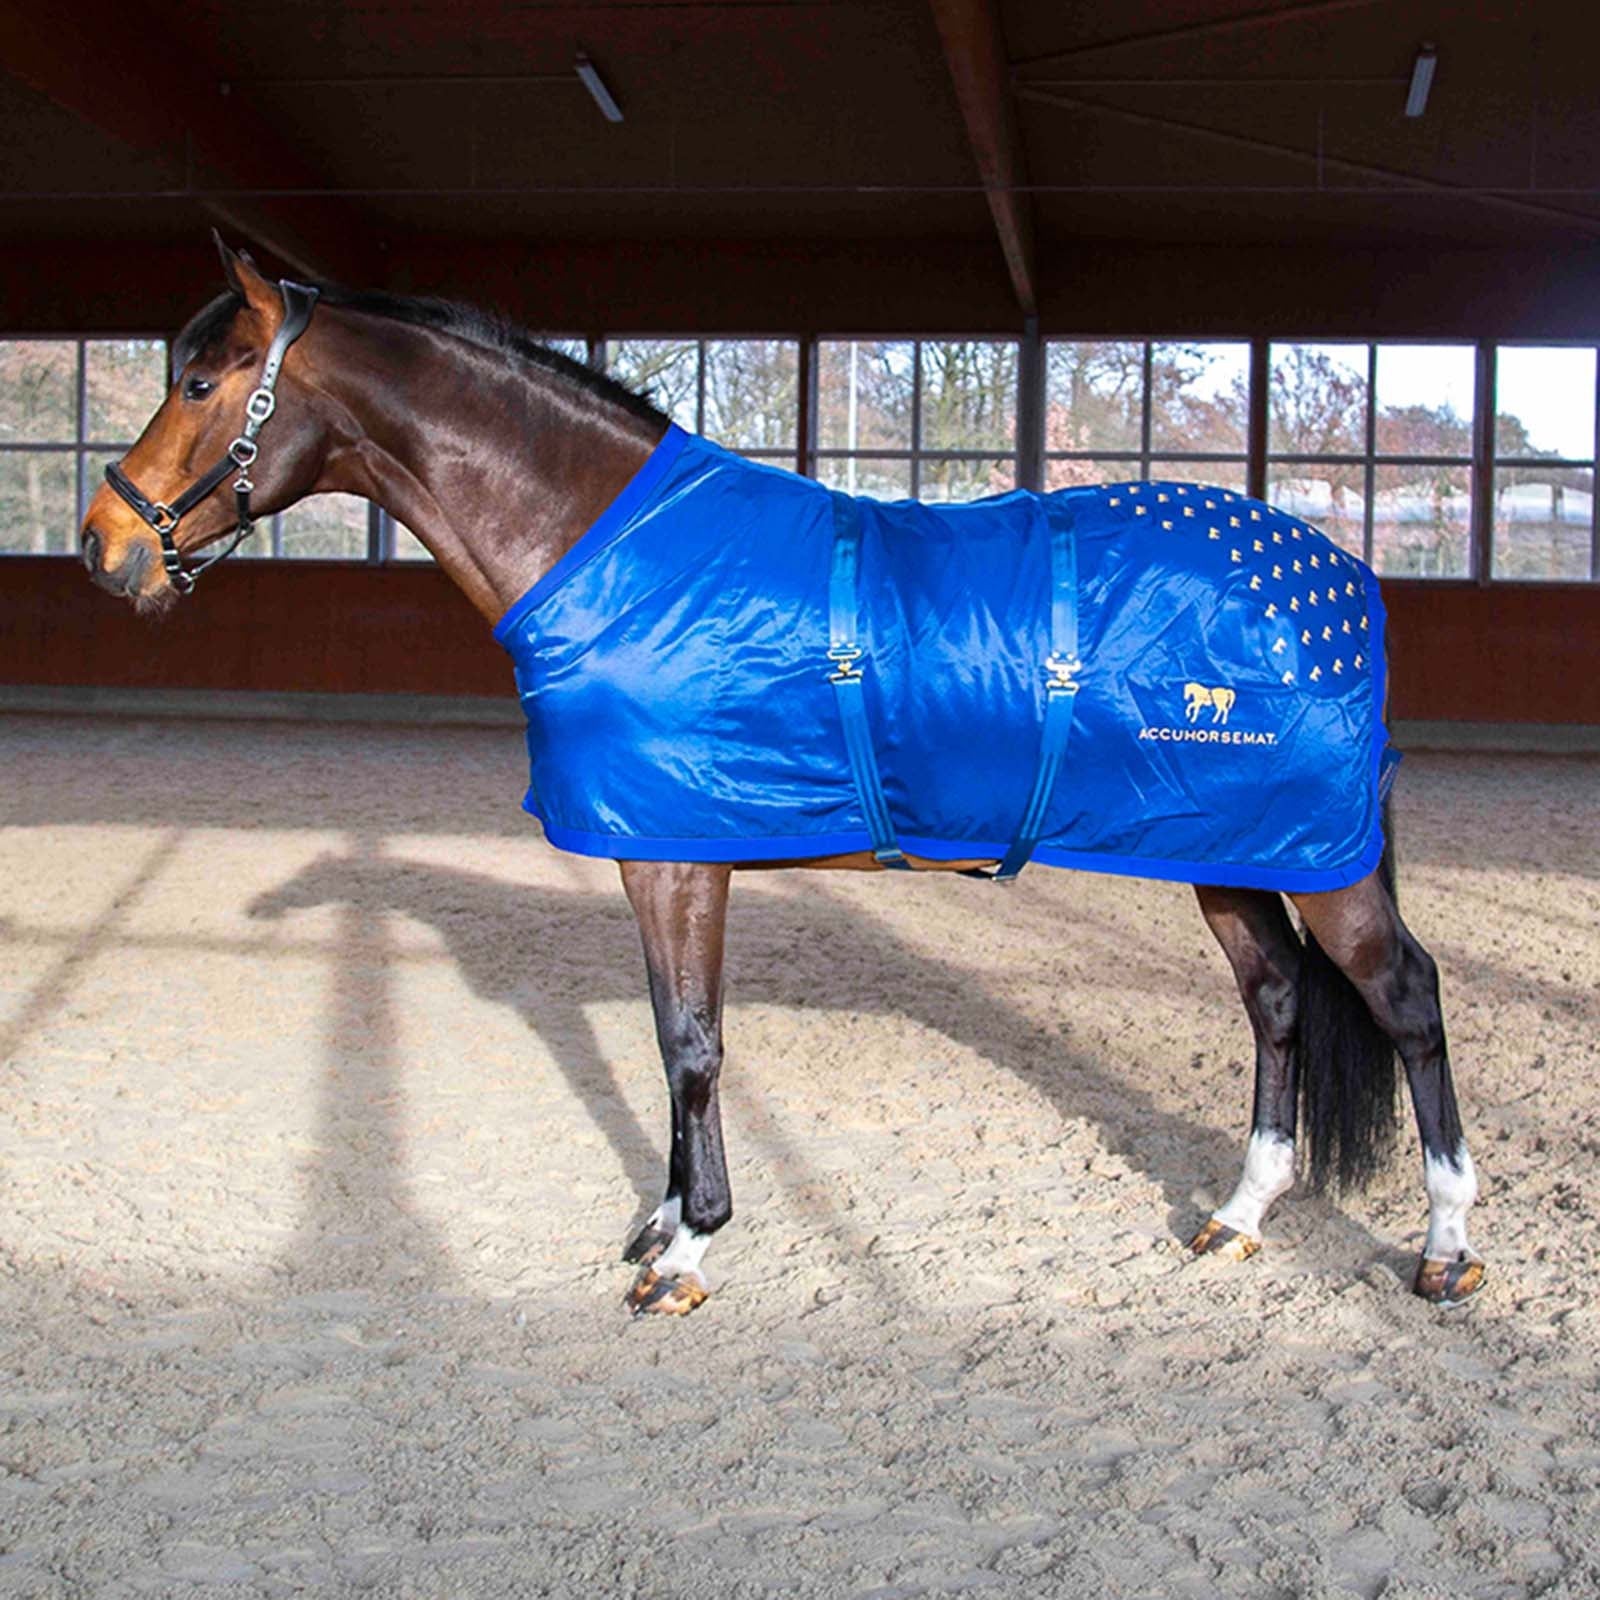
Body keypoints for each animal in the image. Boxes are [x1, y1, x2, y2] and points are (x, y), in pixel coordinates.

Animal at [79, 237, 1485, 1317]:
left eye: (198, 379)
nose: (102, 549)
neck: (615, 549)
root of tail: (1343, 578)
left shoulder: (678, 855)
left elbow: (692, 1043)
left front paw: (690, 1247)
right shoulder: (660, 854)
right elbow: (667, 1036)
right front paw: (659, 1222)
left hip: (1318, 864)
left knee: (1404, 998)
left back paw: (1446, 1248)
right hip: (1222, 852)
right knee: (1278, 1003)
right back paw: (1239, 1215)